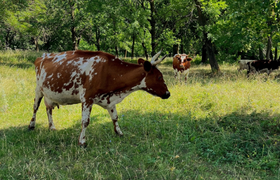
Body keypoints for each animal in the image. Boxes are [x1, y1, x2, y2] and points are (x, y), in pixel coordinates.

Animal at [28, 49, 170, 146]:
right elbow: (85, 121)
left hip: (49, 94)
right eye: (159, 77)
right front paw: (82, 141)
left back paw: (52, 126)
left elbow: (115, 117)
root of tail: (42, 56)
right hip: (38, 90)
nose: (168, 93)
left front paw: (119, 133)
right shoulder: (87, 98)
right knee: (35, 107)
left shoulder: (109, 100)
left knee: (48, 109)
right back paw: (31, 125)